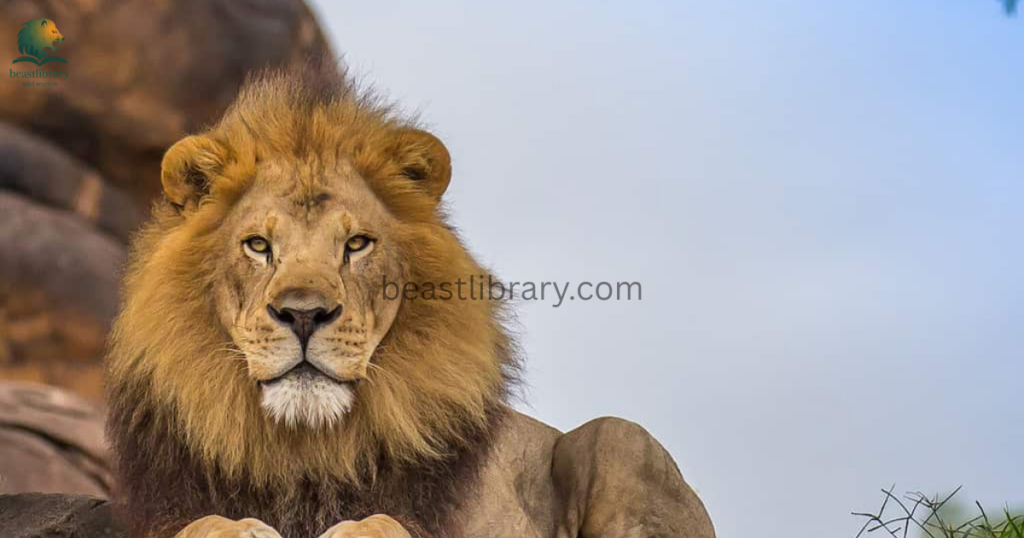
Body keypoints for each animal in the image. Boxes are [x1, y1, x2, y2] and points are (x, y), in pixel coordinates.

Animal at [105, 60, 715, 538]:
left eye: (356, 244)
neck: (305, 449)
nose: (304, 314)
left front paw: (353, 529)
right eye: (258, 245)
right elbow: (202, 523)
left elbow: (385, 521)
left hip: (621, 439)